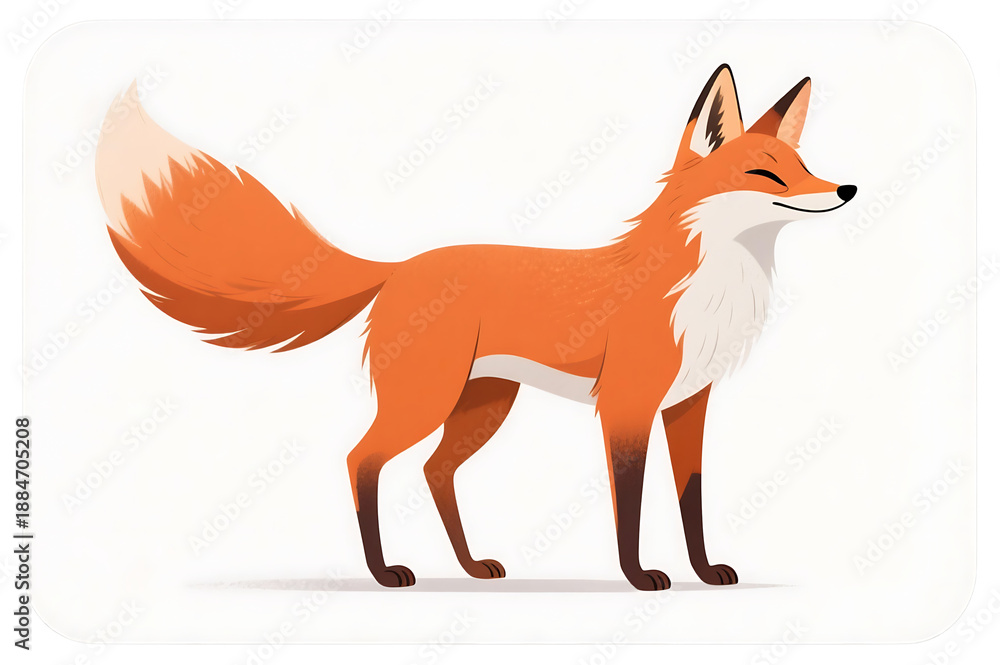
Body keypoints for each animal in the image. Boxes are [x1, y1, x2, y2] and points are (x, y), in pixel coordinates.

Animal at [94, 64, 855, 591]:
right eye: (765, 174)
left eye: (805, 166)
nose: (846, 189)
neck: (707, 284)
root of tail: (401, 266)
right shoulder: (626, 407)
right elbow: (631, 509)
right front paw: (640, 578)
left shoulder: (688, 406)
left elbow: (692, 501)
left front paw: (703, 571)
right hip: (425, 400)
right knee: (361, 459)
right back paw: (383, 573)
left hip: (482, 406)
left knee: (434, 470)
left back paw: (467, 566)